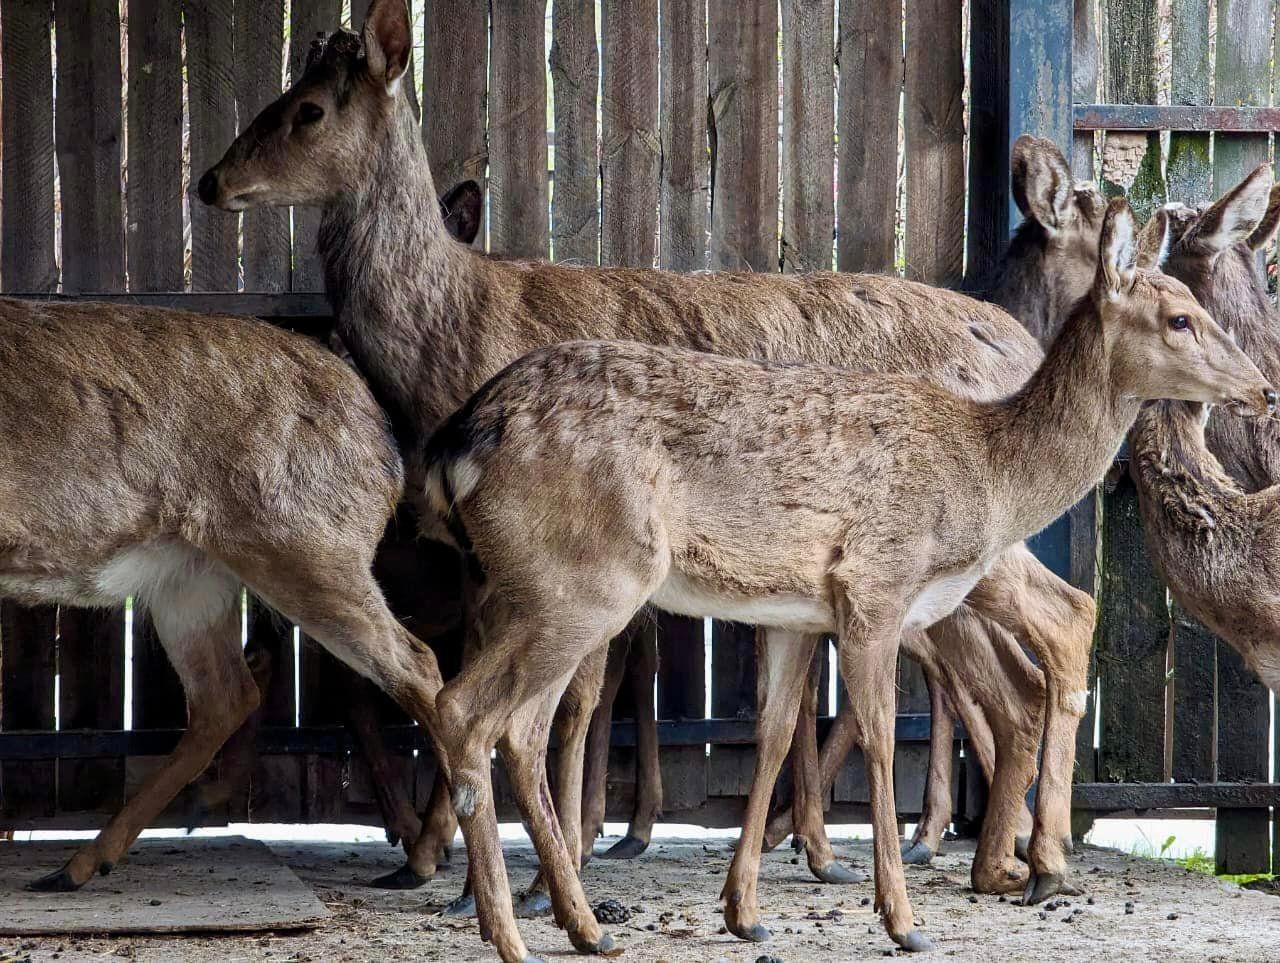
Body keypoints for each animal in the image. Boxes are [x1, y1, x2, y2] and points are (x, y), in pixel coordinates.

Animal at [1, 297, 450, 891]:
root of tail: (386, 445)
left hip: (309, 550)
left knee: (419, 665)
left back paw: (424, 859)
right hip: (193, 583)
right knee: (226, 697)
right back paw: (81, 864)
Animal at [202, 0, 1100, 916]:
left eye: (310, 110)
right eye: (287, 90)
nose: (211, 181)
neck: (447, 342)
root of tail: (1020, 345)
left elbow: (571, 699)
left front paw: (539, 871)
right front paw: (470, 862)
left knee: (1061, 622)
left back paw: (1031, 855)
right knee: (1015, 673)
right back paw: (1004, 859)